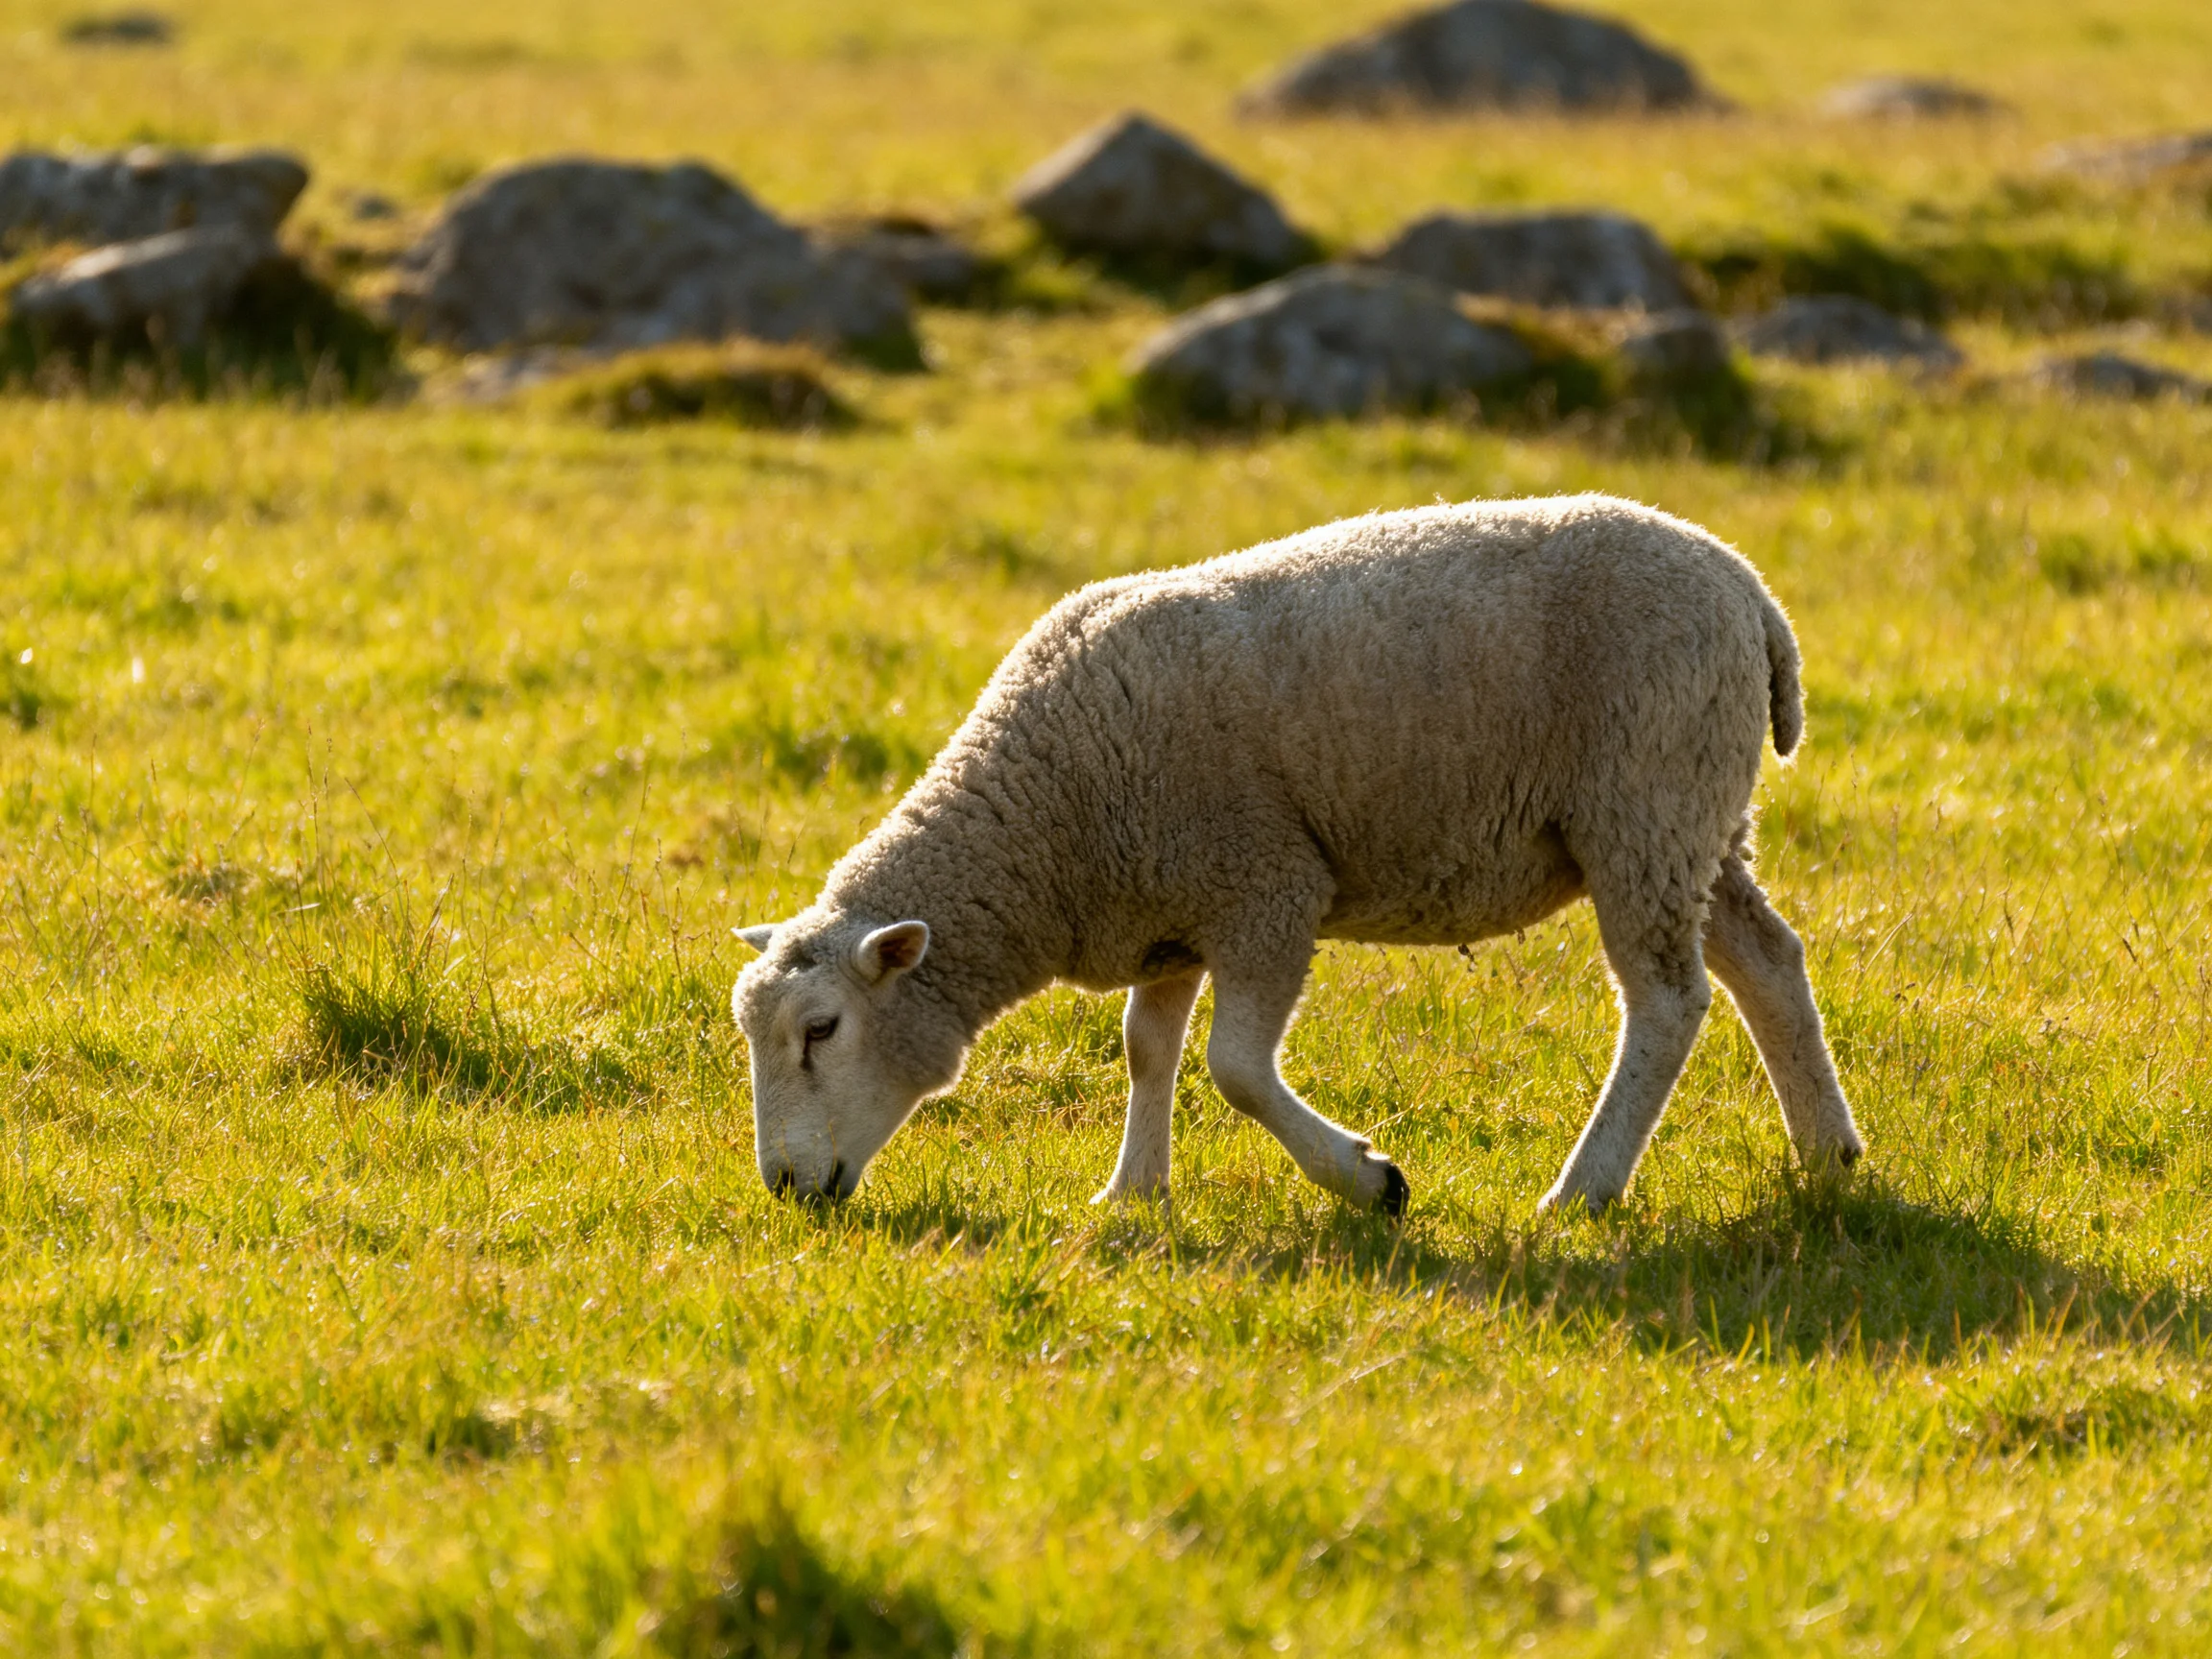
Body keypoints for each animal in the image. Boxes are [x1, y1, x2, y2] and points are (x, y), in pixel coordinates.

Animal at [733, 494, 1863, 1215]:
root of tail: (1749, 591)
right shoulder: (1170, 912)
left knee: (1667, 1002)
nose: (786, 1191)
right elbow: (1147, 1049)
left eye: (821, 1031)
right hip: (1697, 821)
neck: (1047, 823)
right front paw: (1131, 1193)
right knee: (1767, 960)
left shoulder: (1267, 889)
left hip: (1645, 803)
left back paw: (1584, 1189)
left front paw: (1370, 1181)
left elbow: (1234, 1068)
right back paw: (1827, 1154)